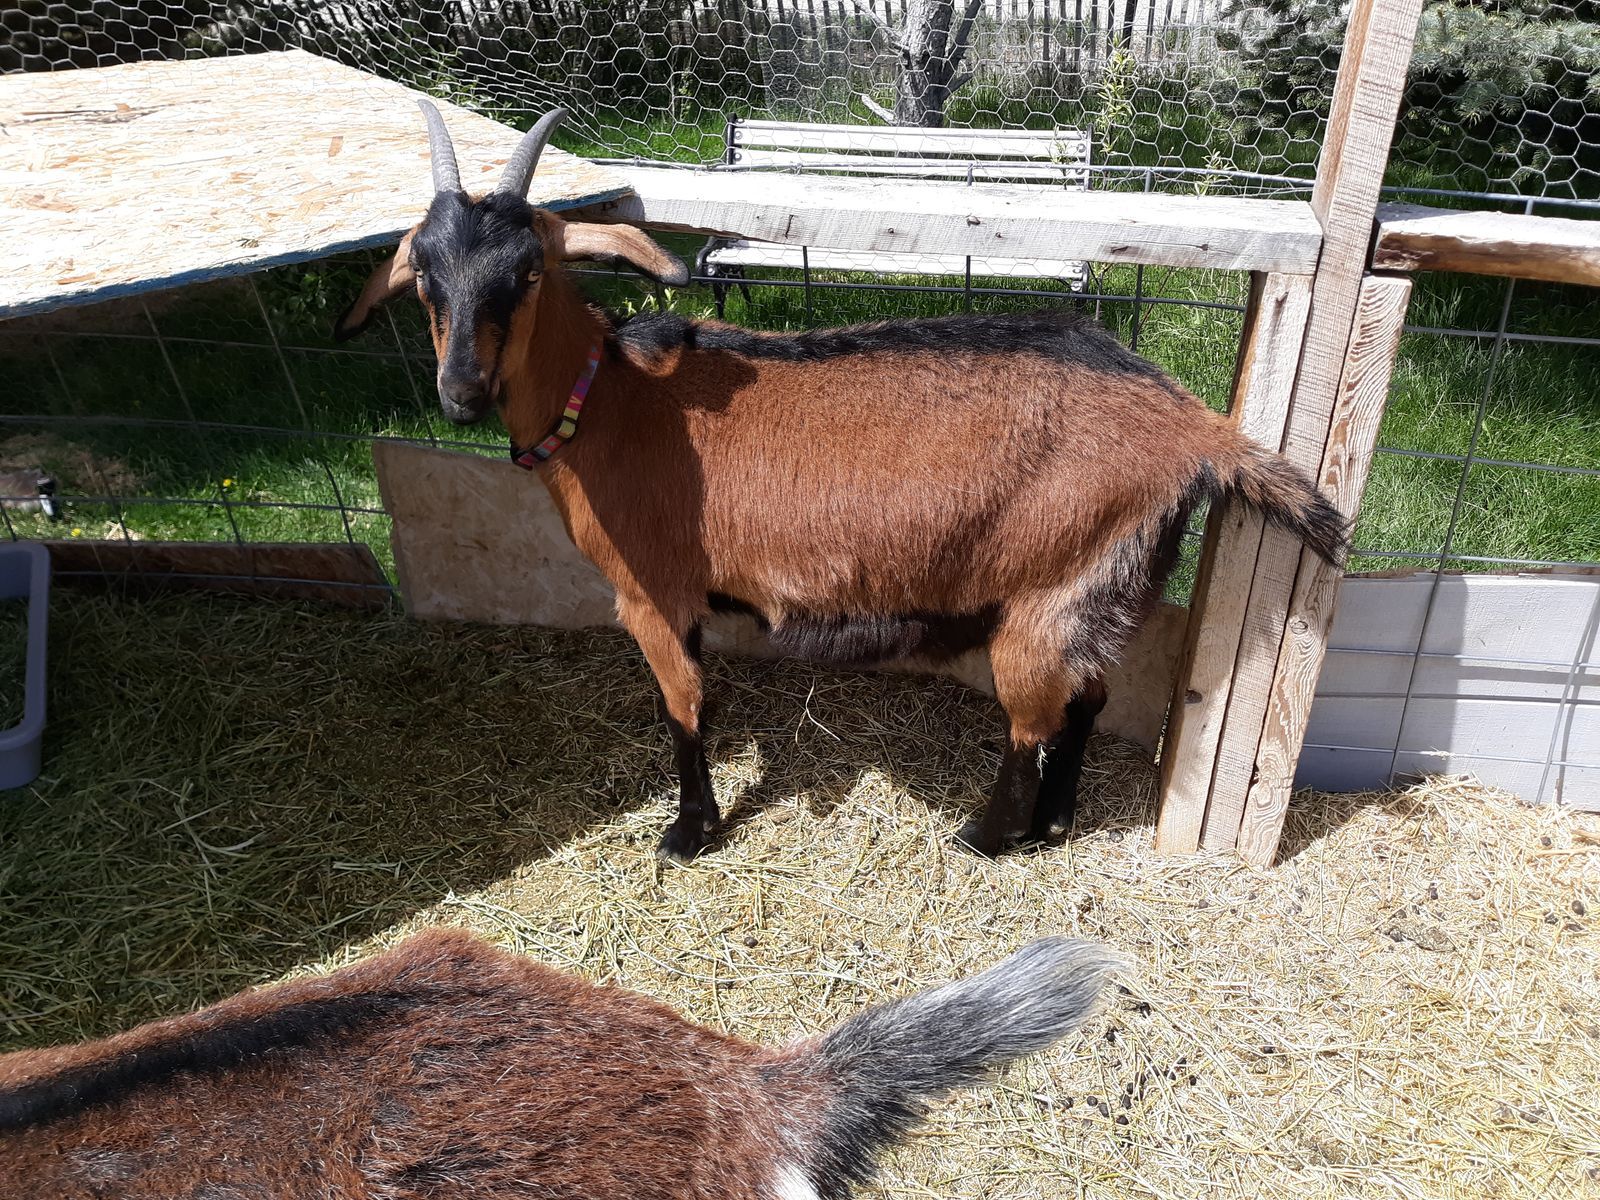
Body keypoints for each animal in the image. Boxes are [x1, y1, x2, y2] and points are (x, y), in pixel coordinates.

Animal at [335, 103, 1348, 862]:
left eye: (530, 271)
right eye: (424, 275)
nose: (461, 393)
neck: (611, 395)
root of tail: (1195, 427)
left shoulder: (650, 591)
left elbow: (684, 708)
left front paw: (689, 833)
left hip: (1053, 582)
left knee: (1033, 716)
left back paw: (986, 835)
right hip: (1104, 582)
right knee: (1085, 699)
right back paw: (1056, 821)